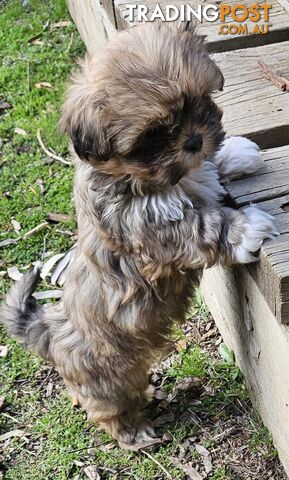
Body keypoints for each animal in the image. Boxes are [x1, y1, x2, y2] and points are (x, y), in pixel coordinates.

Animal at [1, 21, 278, 442]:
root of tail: (49, 328)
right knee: (108, 408)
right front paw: (247, 228)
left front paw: (238, 153)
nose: (194, 140)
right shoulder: (149, 228)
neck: (146, 177)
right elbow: (202, 225)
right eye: (153, 134)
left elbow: (210, 175)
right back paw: (134, 434)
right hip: (107, 379)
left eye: (197, 101)